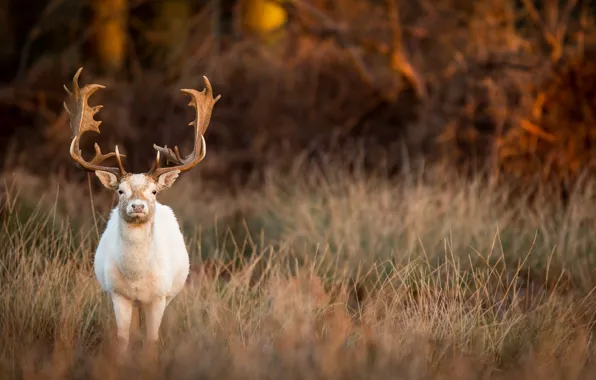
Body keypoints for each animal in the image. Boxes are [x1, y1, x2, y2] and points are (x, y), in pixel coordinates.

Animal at [63, 67, 221, 360]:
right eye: (120, 191)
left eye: (154, 191)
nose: (138, 206)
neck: (136, 277)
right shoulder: (119, 295)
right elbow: (123, 338)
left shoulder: (158, 297)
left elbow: (151, 340)